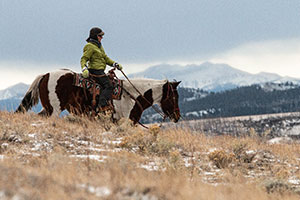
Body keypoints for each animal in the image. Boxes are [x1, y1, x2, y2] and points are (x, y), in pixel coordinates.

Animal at [15, 69, 180, 124]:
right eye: (174, 98)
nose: (177, 117)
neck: (133, 95)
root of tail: (46, 75)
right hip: (55, 110)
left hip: (47, 108)